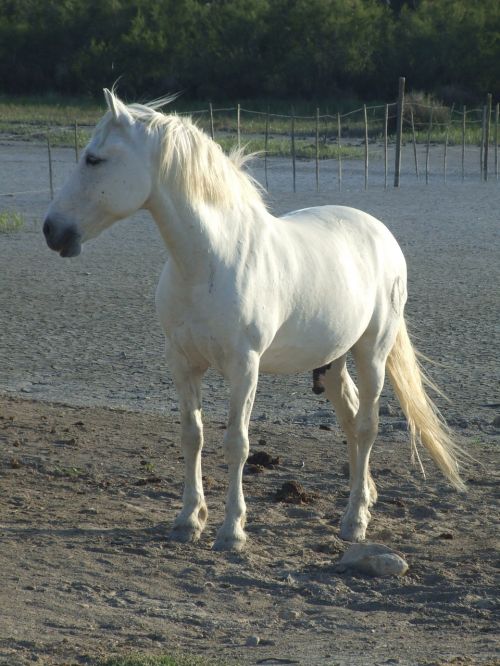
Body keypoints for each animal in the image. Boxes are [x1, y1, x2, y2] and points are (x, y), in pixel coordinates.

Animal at [44, 89, 464, 548]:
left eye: (94, 159)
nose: (52, 230)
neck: (209, 261)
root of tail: (381, 235)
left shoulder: (245, 367)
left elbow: (237, 444)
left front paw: (232, 530)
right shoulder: (182, 363)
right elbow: (192, 435)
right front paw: (189, 520)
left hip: (372, 352)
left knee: (367, 425)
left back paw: (355, 521)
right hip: (332, 362)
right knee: (351, 421)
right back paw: (364, 496)